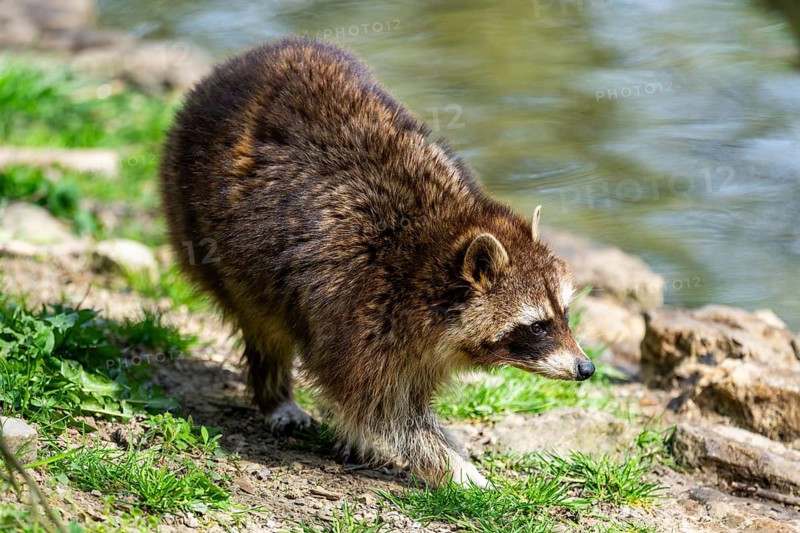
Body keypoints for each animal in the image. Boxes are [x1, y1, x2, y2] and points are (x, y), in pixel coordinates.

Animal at [160, 37, 594, 488]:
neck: (432, 248)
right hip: (198, 222)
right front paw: (459, 470)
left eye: (564, 314)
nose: (586, 368)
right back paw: (275, 394)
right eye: (537, 326)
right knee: (262, 322)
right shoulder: (360, 309)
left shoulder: (416, 342)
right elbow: (383, 411)